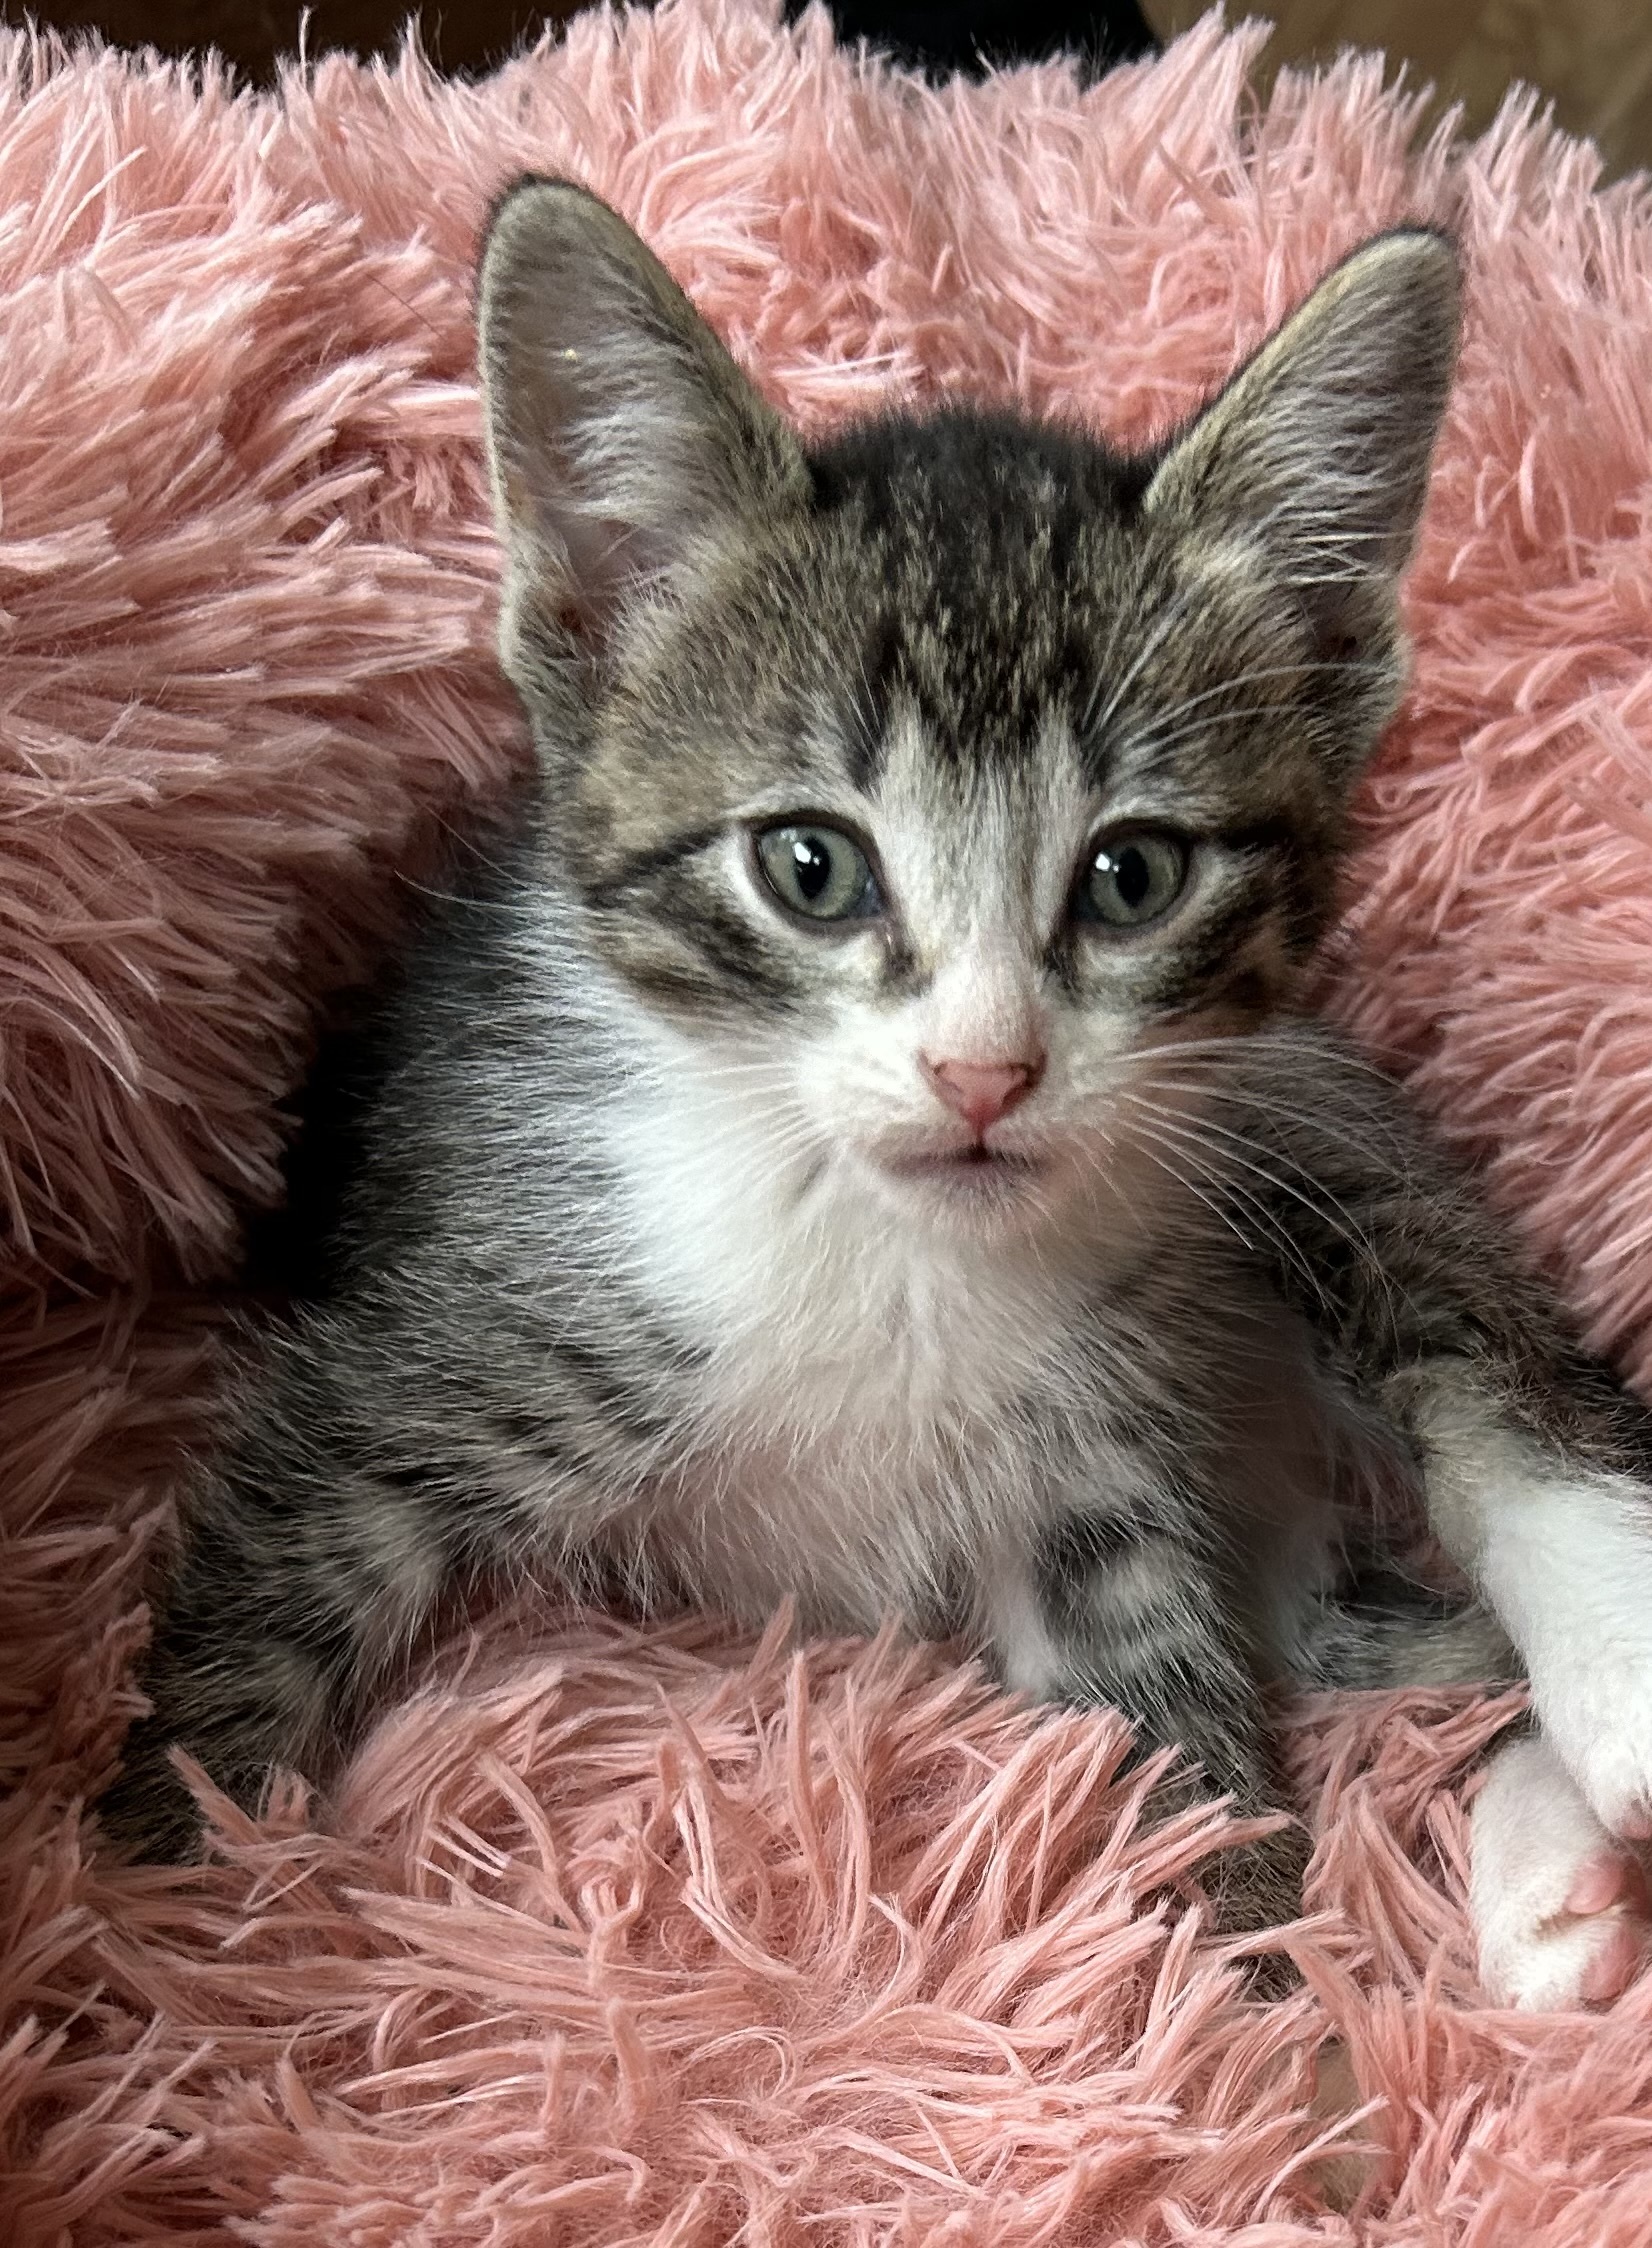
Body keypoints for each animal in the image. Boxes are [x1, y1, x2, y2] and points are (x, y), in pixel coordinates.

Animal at [106, 179, 1652, 2005]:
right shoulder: (425, 1355)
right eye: (808, 866)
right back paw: (1555, 1894)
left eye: (1132, 875)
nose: (983, 1072)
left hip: (1288, 1115)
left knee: (1488, 1382)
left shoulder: (1100, 1469)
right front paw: (162, 1952)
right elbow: (245, 1644)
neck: (884, 1242)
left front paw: (1278, 2052)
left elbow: (1196, 1769)